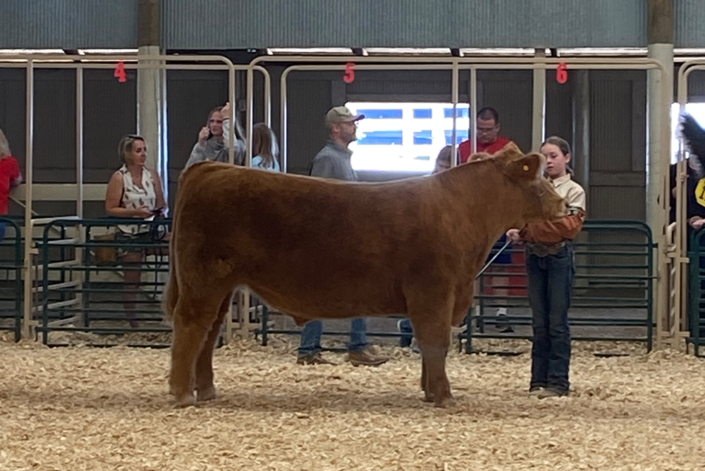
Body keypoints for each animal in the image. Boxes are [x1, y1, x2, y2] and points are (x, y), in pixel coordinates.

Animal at [162, 142, 567, 408]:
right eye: (538, 179)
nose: (565, 204)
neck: (463, 213)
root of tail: (213, 168)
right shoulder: (434, 291)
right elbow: (436, 343)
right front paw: (444, 396)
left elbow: (428, 345)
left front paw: (429, 391)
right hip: (203, 279)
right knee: (192, 326)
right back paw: (182, 395)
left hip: (221, 284)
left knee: (209, 331)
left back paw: (206, 390)